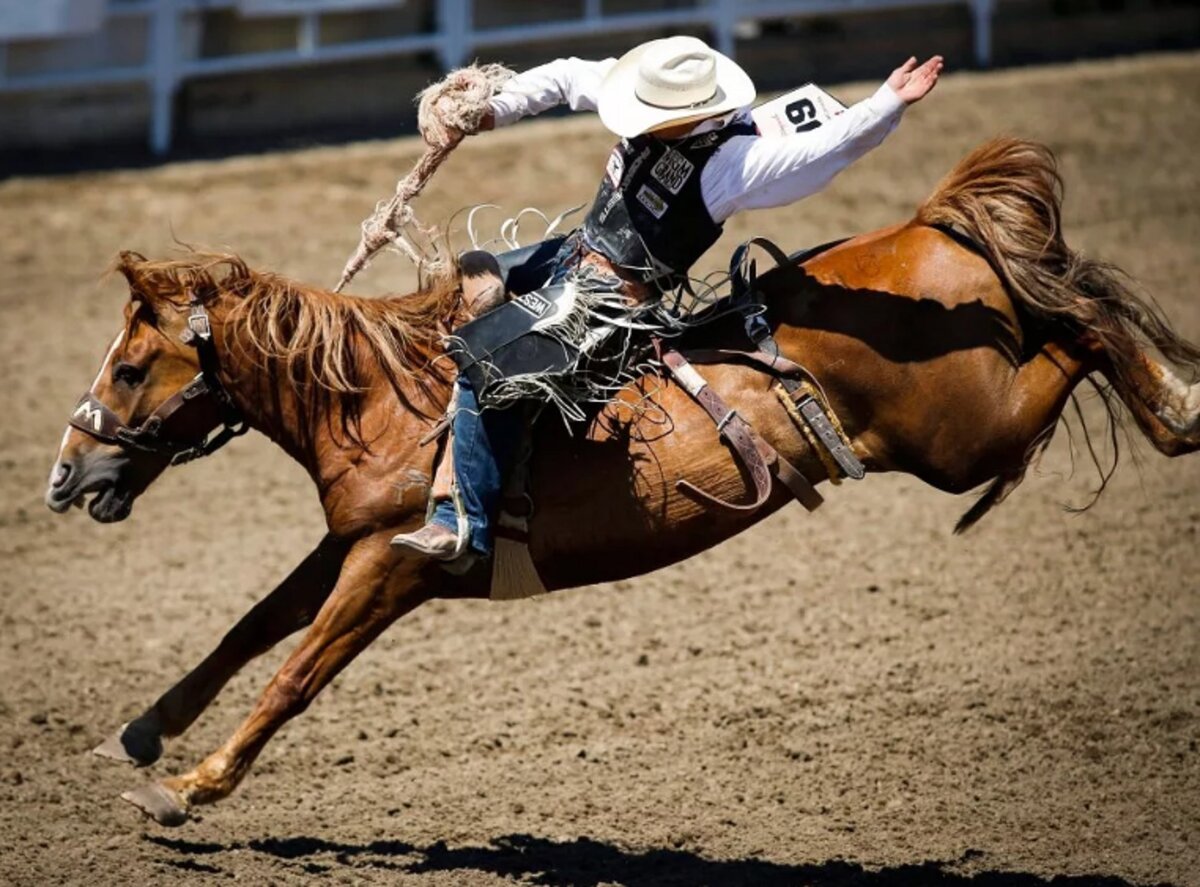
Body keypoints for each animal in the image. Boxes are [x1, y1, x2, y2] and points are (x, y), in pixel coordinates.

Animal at [42, 136, 1195, 825]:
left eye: (132, 366)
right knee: (1075, 309)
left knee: (1084, 324)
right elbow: (251, 626)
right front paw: (141, 733)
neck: (387, 401)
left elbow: (296, 670)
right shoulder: (347, 540)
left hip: (966, 437)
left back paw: (1180, 404)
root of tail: (922, 225)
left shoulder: (397, 564)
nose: (64, 473)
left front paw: (189, 787)